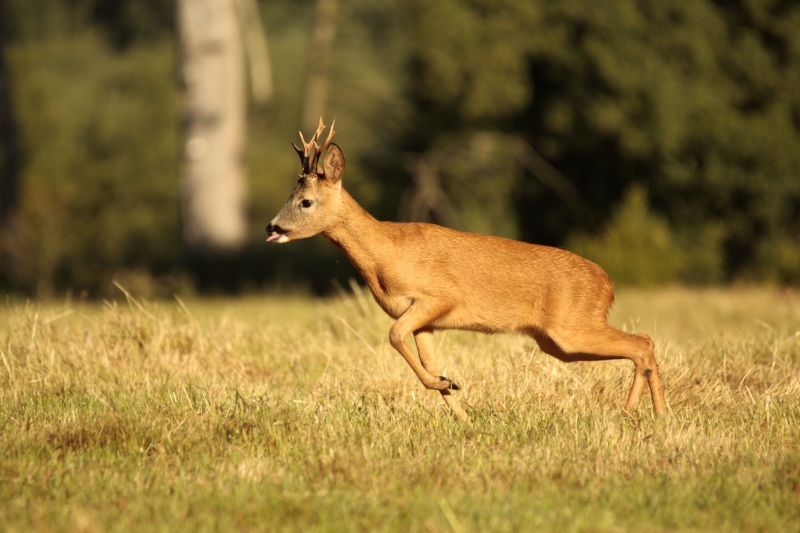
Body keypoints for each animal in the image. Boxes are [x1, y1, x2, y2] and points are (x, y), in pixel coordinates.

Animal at [266, 117, 664, 420]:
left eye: (305, 202)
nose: (272, 227)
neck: (385, 255)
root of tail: (607, 283)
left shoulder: (439, 297)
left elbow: (393, 335)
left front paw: (451, 389)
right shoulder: (424, 321)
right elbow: (426, 360)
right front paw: (457, 404)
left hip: (572, 326)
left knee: (642, 342)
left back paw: (643, 415)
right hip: (558, 341)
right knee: (642, 344)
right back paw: (649, 415)